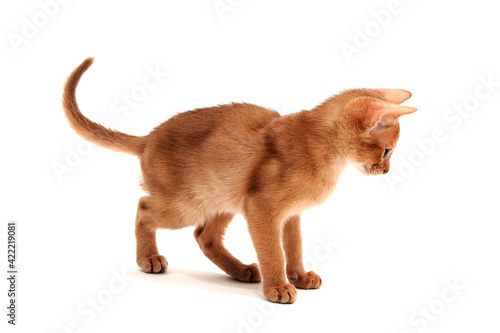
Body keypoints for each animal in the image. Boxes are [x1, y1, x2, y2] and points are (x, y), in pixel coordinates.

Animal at [61, 57, 414, 304]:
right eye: (387, 151)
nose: (386, 171)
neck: (324, 151)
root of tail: (147, 138)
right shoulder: (262, 208)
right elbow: (273, 251)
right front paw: (278, 286)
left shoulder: (290, 214)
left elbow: (294, 246)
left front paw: (299, 276)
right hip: (186, 205)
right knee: (143, 207)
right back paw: (149, 258)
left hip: (224, 199)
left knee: (204, 236)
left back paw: (242, 270)